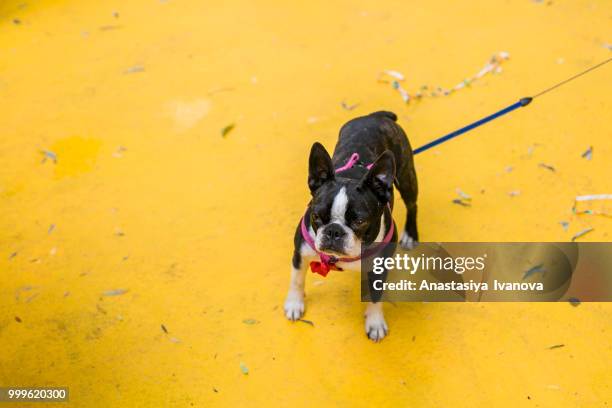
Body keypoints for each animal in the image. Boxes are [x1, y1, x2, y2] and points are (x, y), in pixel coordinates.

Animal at [284, 111, 418, 342]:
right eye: (316, 216)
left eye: (359, 221)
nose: (334, 231)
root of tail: (375, 115)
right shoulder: (300, 253)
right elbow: (296, 280)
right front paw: (294, 303)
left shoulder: (380, 268)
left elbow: (375, 297)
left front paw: (375, 322)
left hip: (407, 175)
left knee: (412, 204)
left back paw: (410, 234)